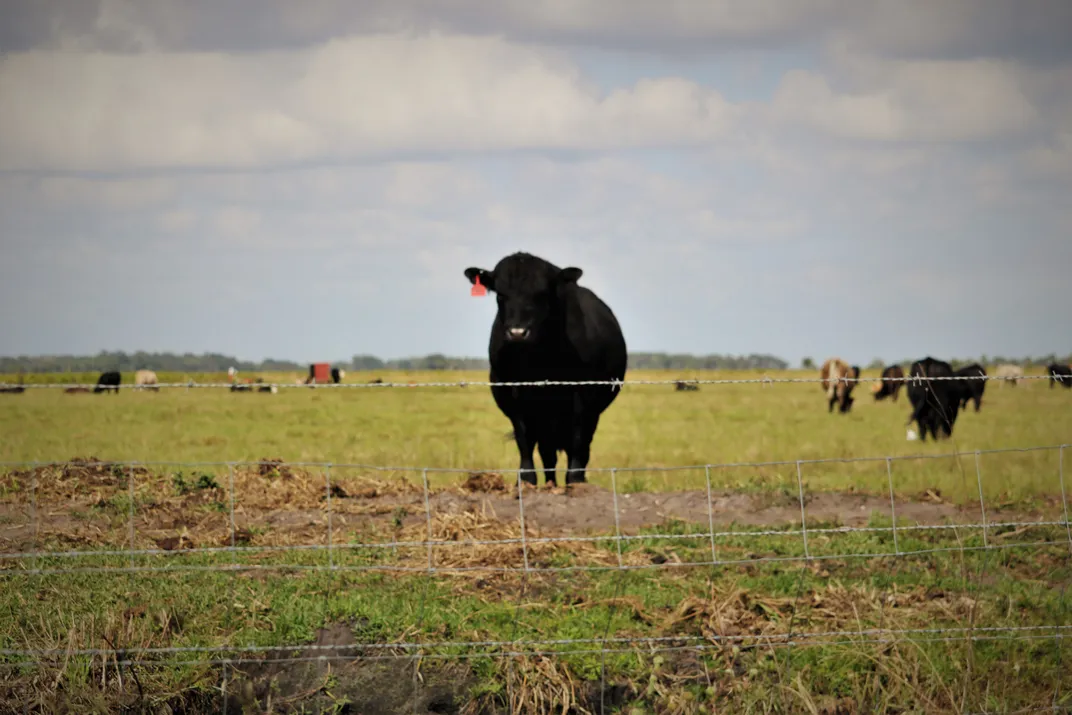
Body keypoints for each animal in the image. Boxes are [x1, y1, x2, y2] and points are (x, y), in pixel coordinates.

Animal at [464, 252, 627, 487]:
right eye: (500, 294)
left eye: (541, 294)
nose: (517, 333)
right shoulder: (513, 394)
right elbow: (524, 438)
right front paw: (526, 481)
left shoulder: (583, 394)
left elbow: (577, 439)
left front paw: (575, 480)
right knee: (547, 452)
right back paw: (550, 483)